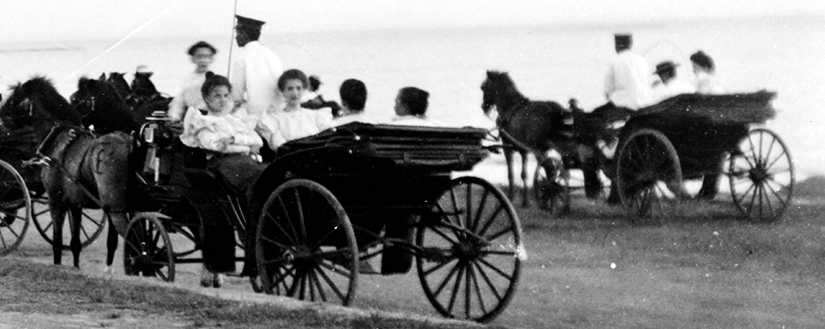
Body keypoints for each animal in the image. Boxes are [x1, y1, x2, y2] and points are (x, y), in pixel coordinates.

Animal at [0, 77, 132, 270]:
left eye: (12, 101)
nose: (1, 116)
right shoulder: (74, 204)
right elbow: (75, 242)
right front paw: (75, 267)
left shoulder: (55, 200)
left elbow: (57, 240)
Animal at [480, 70, 600, 206]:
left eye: (483, 87)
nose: (483, 106)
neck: (510, 107)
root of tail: (555, 109)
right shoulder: (524, 150)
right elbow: (524, 174)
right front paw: (525, 201)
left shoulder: (508, 148)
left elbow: (510, 174)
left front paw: (510, 198)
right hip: (560, 147)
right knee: (565, 169)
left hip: (540, 149)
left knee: (551, 169)